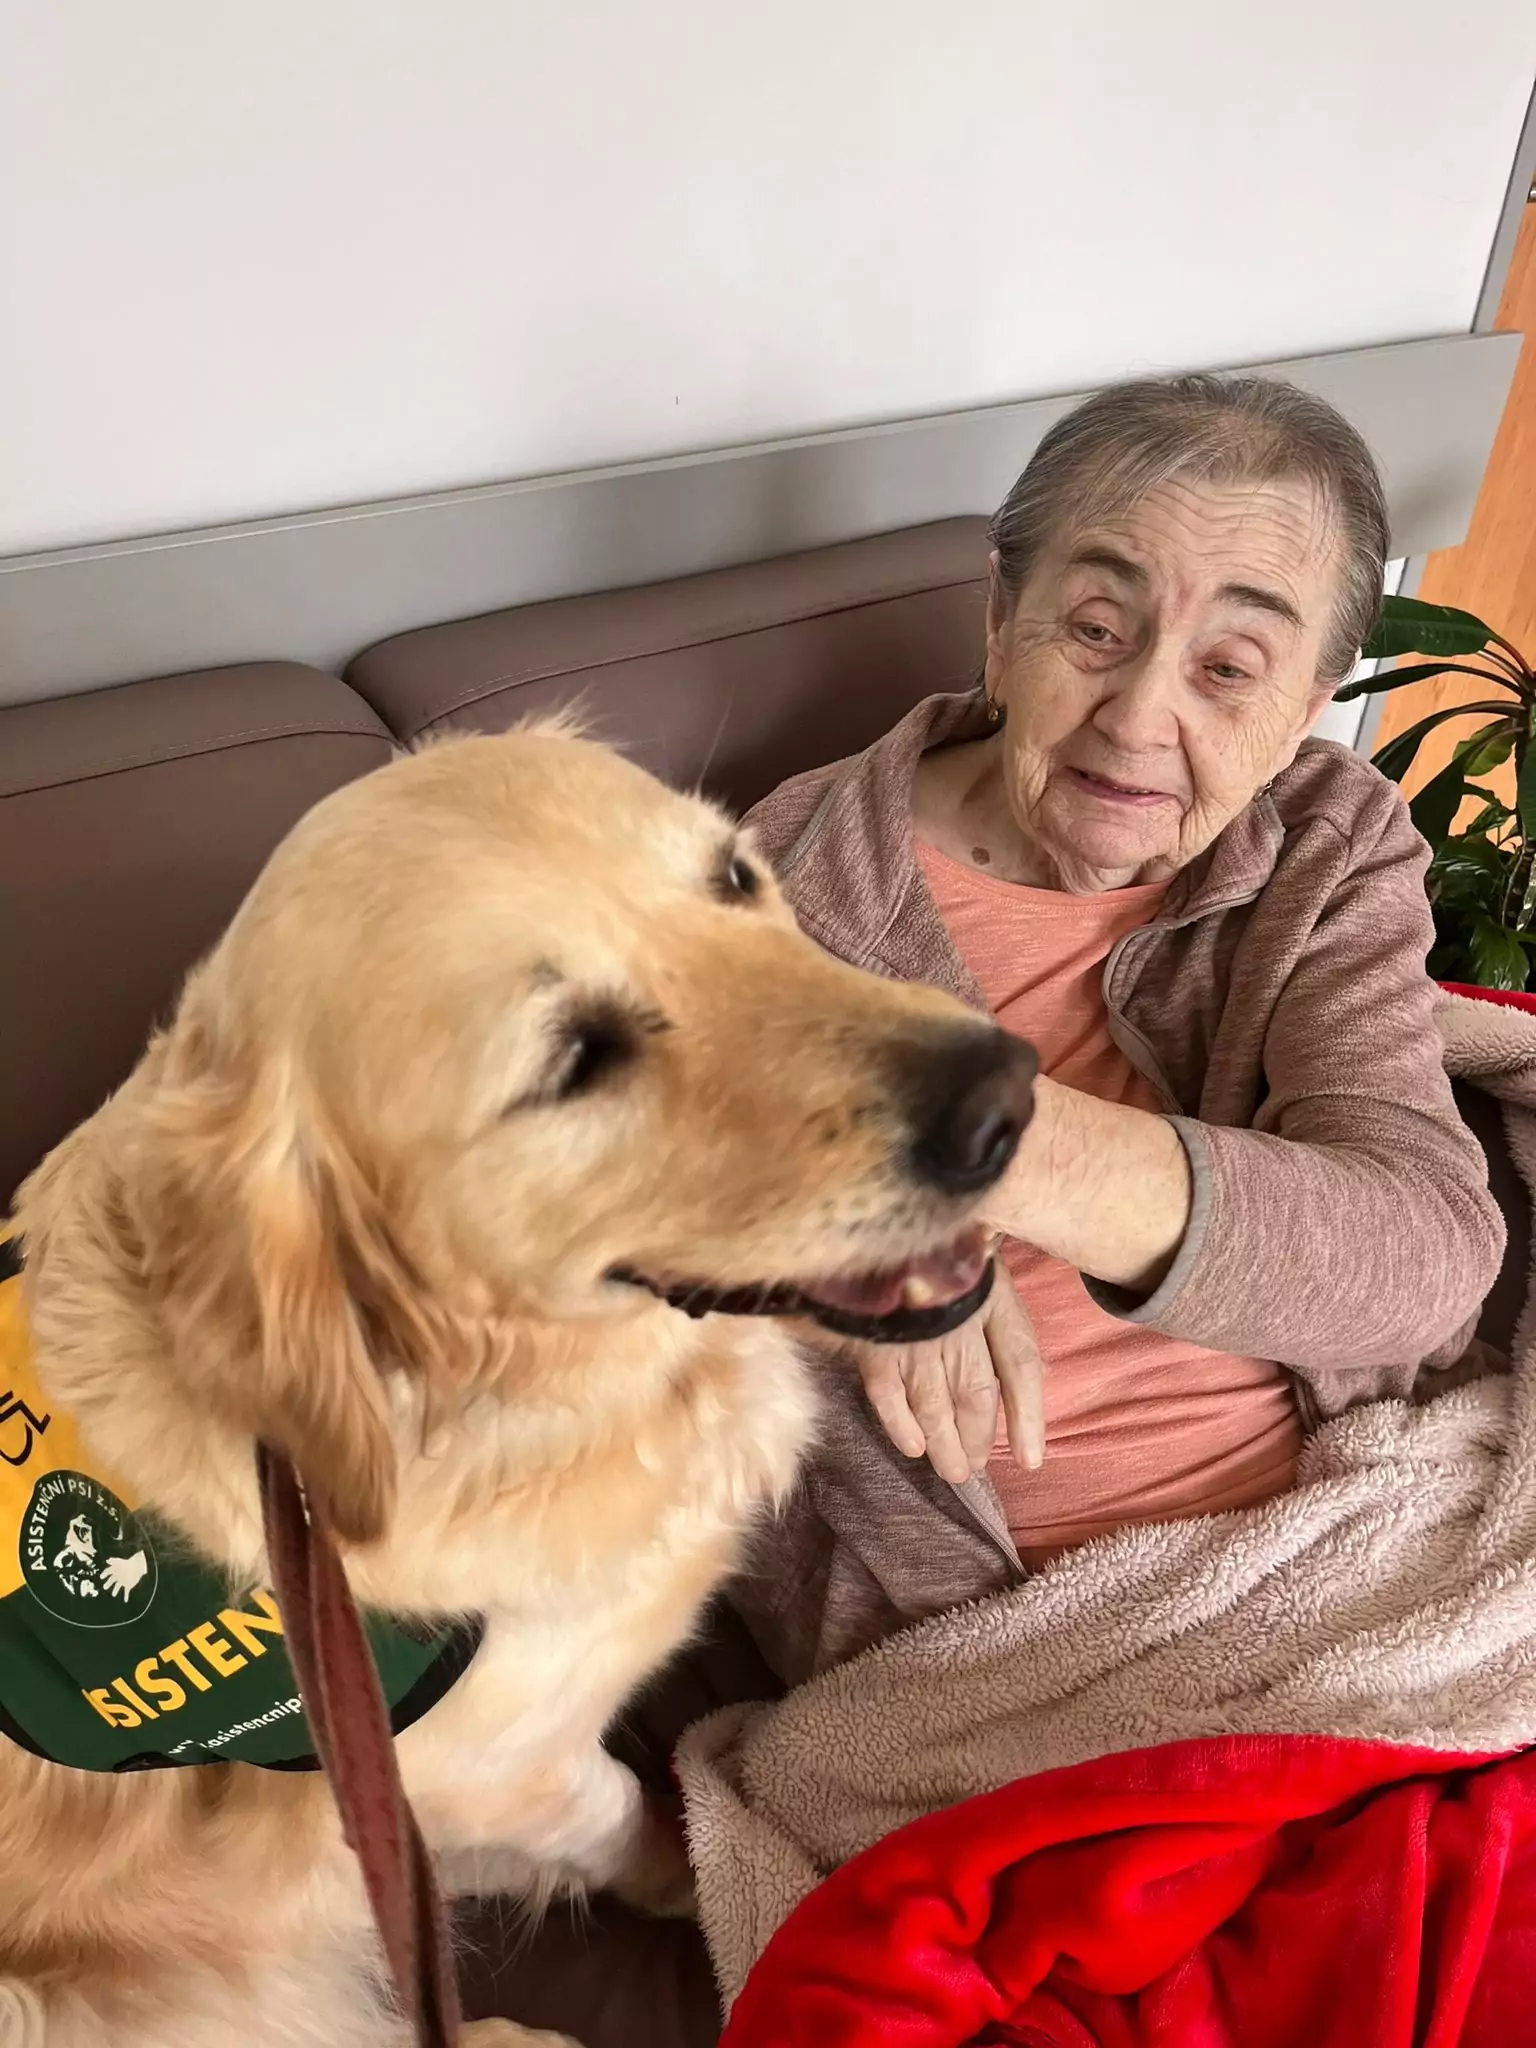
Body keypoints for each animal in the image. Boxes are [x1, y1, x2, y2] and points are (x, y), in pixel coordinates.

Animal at [0, 726, 1034, 2047]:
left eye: (735, 876)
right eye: (574, 1060)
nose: (1009, 1098)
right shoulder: (489, 1772)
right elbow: (628, 1811)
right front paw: (704, 1886)